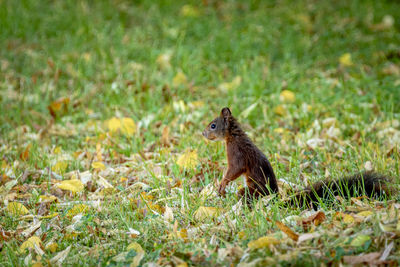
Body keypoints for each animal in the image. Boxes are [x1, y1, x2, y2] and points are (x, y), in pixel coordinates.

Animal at [202, 108, 392, 208]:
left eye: (213, 125)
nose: (203, 133)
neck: (233, 136)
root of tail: (276, 198)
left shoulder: (237, 153)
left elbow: (235, 169)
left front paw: (222, 185)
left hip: (253, 192)